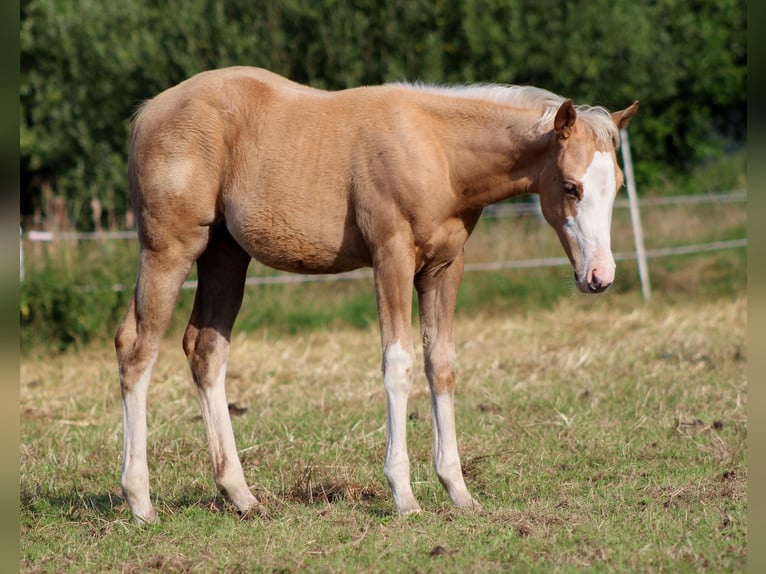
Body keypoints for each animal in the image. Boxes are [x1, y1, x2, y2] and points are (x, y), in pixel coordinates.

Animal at [115, 66, 638, 522]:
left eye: (617, 185)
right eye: (570, 187)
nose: (599, 275)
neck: (438, 151)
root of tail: (147, 113)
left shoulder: (444, 269)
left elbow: (440, 365)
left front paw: (459, 492)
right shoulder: (392, 259)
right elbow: (399, 364)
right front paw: (404, 495)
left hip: (226, 256)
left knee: (206, 351)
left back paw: (241, 496)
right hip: (170, 248)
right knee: (137, 348)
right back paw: (140, 502)